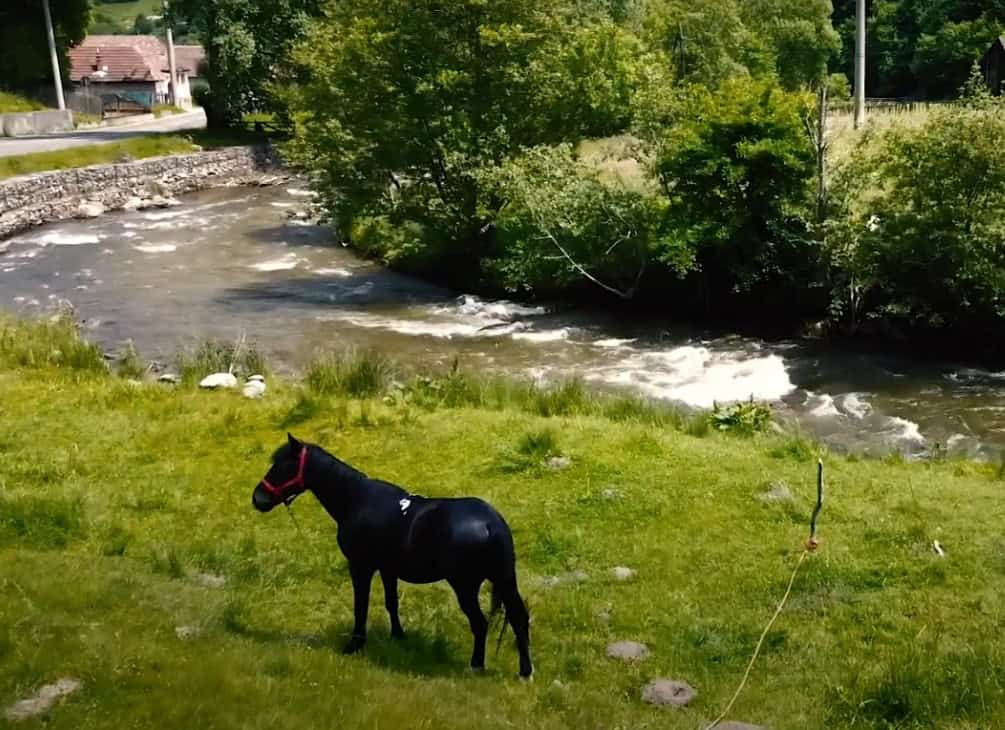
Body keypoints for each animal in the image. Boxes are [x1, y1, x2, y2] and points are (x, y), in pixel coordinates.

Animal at [251, 434, 534, 679]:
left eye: (284, 466)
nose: (258, 499)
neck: (356, 499)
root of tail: (490, 524)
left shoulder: (361, 566)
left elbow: (361, 605)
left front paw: (354, 645)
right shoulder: (388, 568)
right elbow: (391, 602)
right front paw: (398, 636)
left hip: (465, 585)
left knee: (480, 623)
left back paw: (476, 665)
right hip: (505, 579)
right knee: (519, 619)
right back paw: (525, 671)